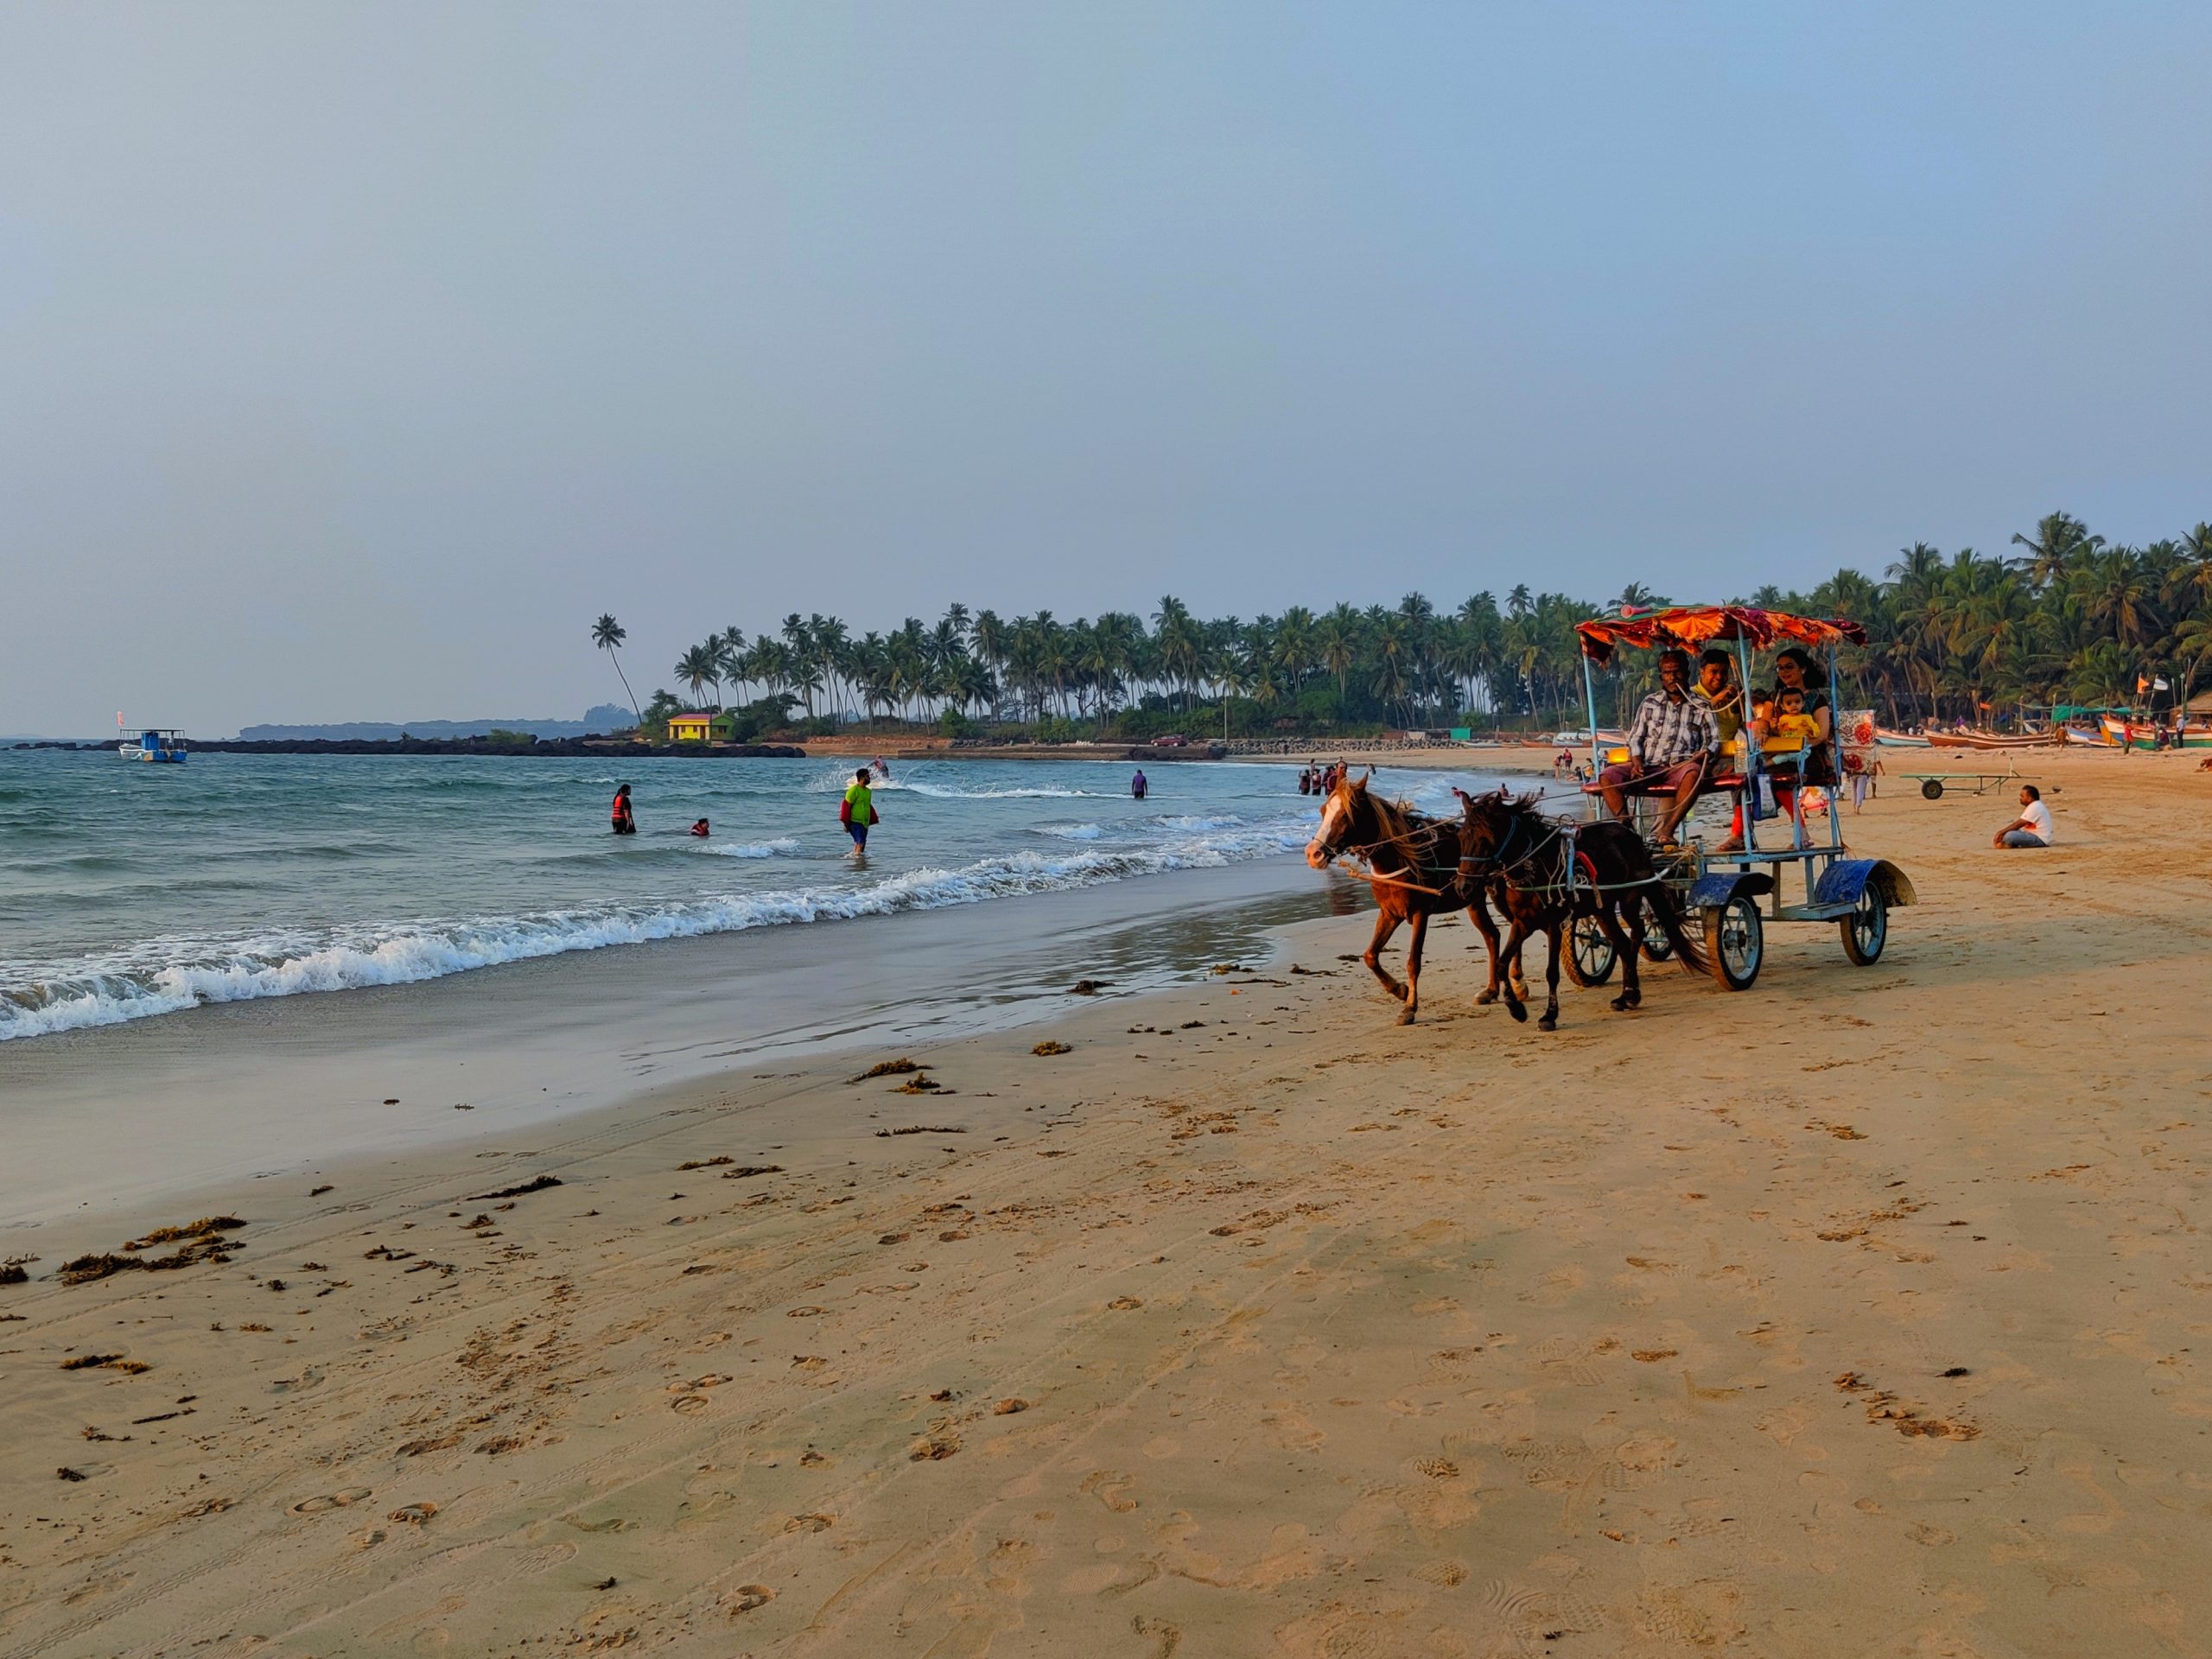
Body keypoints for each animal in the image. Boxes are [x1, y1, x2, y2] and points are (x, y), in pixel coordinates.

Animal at [1292, 774, 1522, 1021]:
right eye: (1323, 810)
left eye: (1346, 814)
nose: (1313, 854)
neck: (1399, 859)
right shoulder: (1389, 914)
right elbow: (1370, 956)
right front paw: (1399, 990)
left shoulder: (1420, 914)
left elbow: (1413, 962)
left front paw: (1410, 1006)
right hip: (1473, 900)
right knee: (1492, 936)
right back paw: (1491, 990)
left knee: (1515, 927)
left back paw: (1519, 983)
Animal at [1451, 787, 1707, 1026]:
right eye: (1461, 837)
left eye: (1486, 838)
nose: (1463, 887)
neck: (1536, 864)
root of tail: (1633, 836)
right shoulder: (1523, 922)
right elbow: (1502, 962)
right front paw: (1516, 1008)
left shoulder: (1554, 923)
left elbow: (1551, 972)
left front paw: (1549, 1015)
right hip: (1602, 910)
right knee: (1623, 944)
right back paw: (1626, 996)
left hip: (1630, 896)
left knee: (1636, 934)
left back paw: (1632, 993)